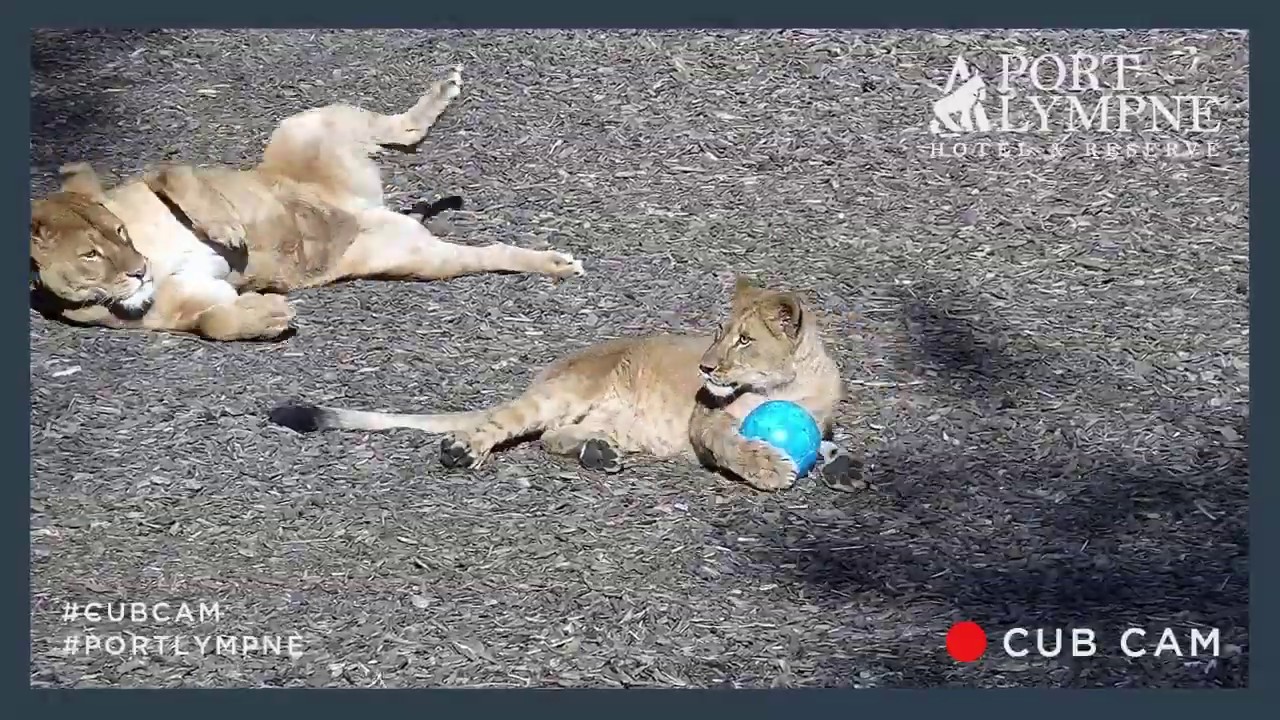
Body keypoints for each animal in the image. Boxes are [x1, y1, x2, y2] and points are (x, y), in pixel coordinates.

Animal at [29, 66, 585, 342]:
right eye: (91, 255)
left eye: (119, 233)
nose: (139, 270)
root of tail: (365, 206)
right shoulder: (190, 301)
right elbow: (212, 320)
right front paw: (268, 316)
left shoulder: (159, 177)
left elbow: (176, 178)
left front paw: (228, 230)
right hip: (420, 259)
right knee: (491, 253)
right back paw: (556, 263)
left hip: (304, 124)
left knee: (404, 131)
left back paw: (444, 90)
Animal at [268, 276, 865, 493]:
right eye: (717, 335)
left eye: (743, 340)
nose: (706, 368)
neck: (790, 387)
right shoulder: (707, 421)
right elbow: (733, 444)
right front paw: (770, 468)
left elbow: (824, 441)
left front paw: (843, 466)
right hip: (565, 391)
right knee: (504, 425)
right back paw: (460, 451)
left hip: (612, 421)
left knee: (555, 437)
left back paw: (596, 453)